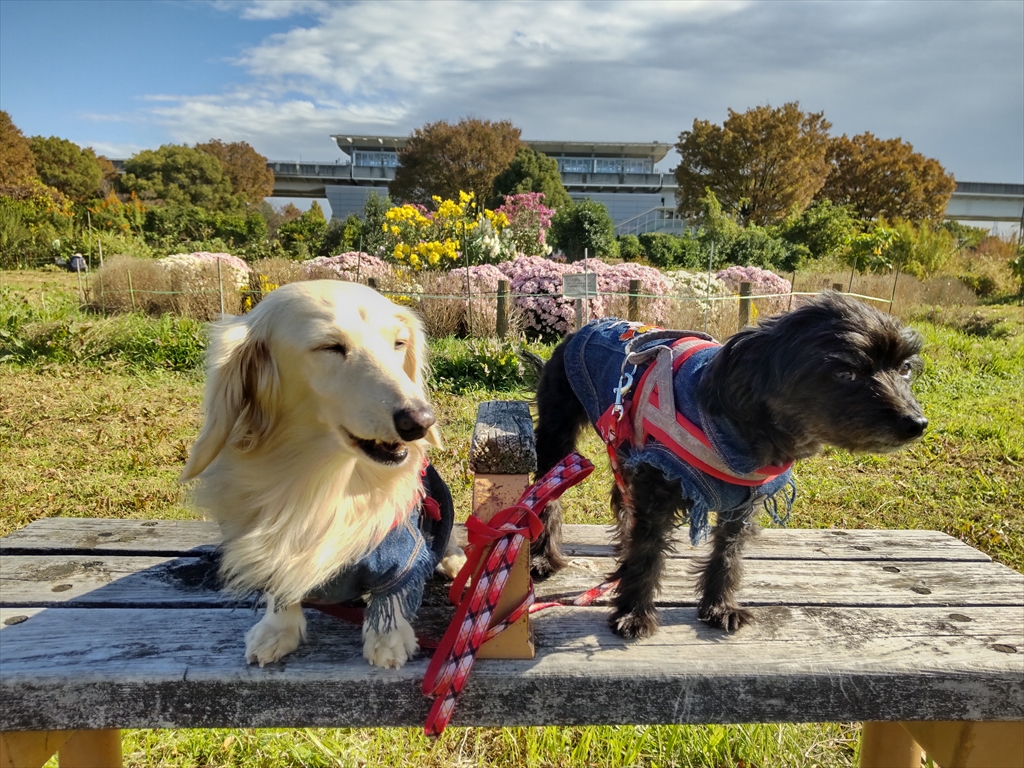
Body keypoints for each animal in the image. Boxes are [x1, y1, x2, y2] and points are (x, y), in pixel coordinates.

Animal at [180, 280, 464, 669]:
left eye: (399, 343)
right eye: (330, 347)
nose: (421, 421)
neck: (324, 480)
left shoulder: (401, 552)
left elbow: (390, 595)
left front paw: (388, 638)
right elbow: (281, 585)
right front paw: (276, 630)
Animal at [532, 291, 927, 639]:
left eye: (905, 369)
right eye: (846, 373)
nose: (916, 423)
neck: (742, 427)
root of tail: (594, 323)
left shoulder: (741, 502)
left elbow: (728, 554)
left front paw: (719, 606)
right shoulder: (658, 485)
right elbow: (647, 552)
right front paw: (633, 612)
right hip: (559, 434)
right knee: (548, 494)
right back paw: (544, 559)